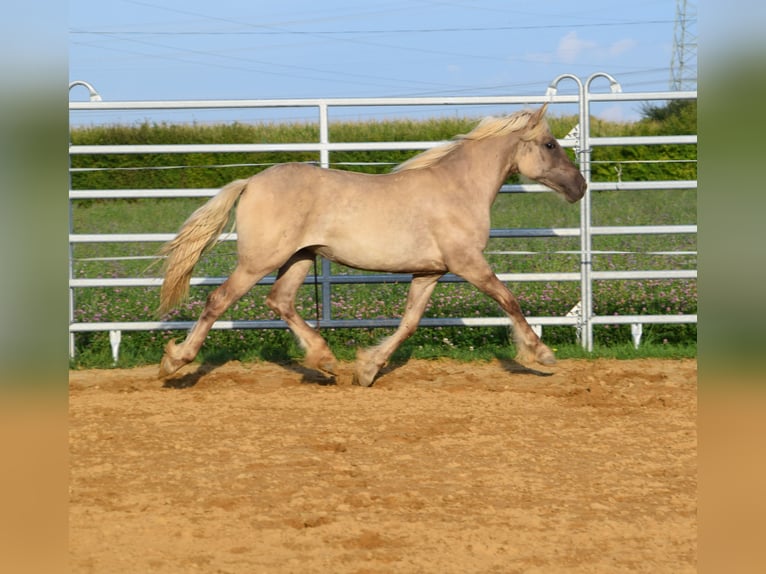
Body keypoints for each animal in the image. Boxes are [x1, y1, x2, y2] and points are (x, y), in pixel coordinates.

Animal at [156, 106, 588, 390]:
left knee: (280, 301)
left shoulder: (430, 272)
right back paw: (175, 363)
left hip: (299, 258)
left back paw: (326, 361)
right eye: (550, 144)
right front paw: (542, 354)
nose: (580, 186)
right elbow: (508, 299)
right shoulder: (468, 263)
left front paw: (367, 370)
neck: (458, 188)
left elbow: (410, 322)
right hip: (259, 261)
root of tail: (250, 182)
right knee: (218, 300)